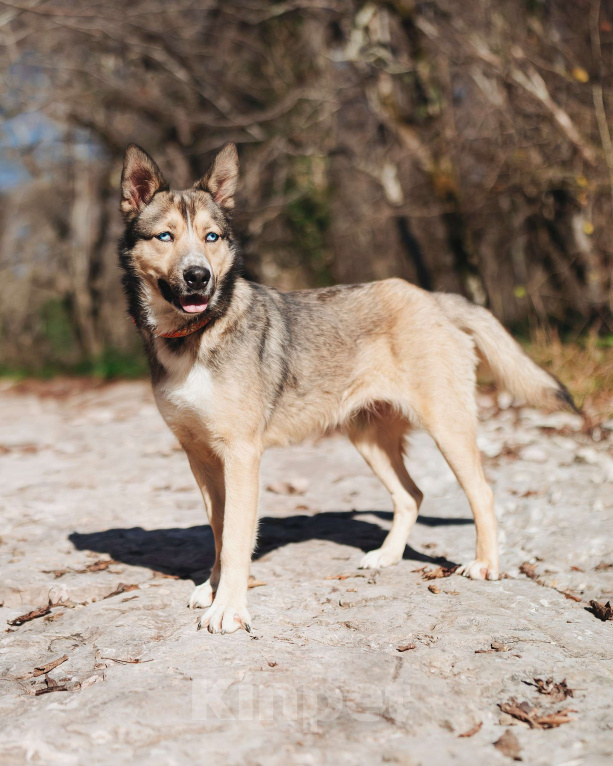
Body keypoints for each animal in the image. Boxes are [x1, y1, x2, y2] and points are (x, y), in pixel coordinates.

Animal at [117, 142, 576, 636]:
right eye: (165, 236)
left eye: (212, 237)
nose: (199, 277)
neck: (195, 336)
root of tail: (433, 297)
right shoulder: (200, 456)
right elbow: (219, 530)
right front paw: (214, 588)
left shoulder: (240, 455)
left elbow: (237, 537)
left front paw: (229, 608)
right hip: (368, 437)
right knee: (411, 495)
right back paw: (389, 557)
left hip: (447, 426)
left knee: (483, 494)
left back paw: (486, 563)